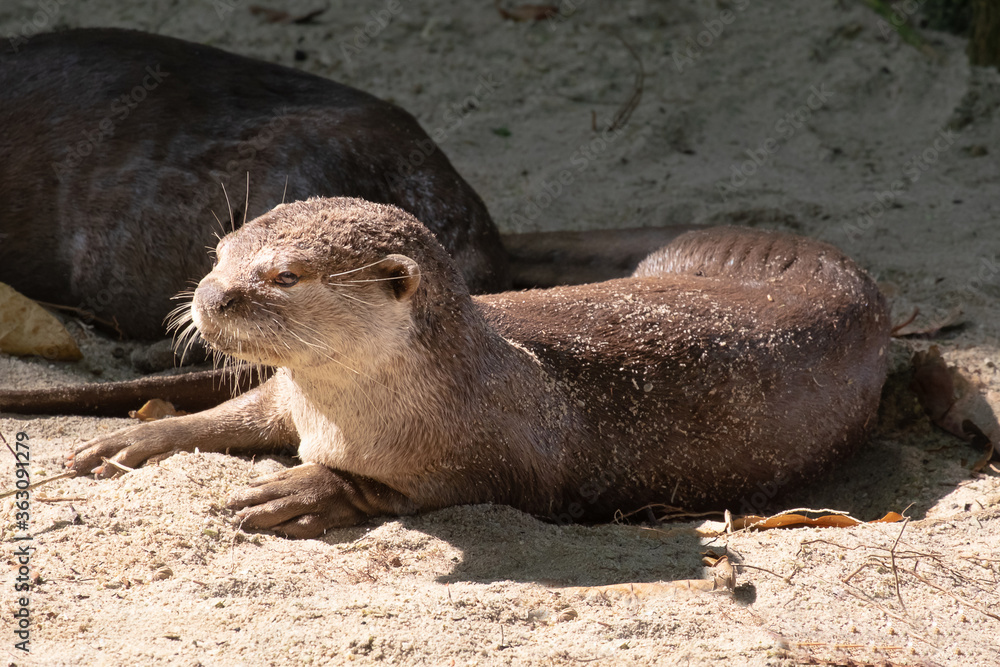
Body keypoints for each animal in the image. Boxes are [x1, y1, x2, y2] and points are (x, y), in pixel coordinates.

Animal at [68, 197, 890, 538]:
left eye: (286, 276)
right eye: (220, 254)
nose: (210, 296)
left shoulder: (510, 460)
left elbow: (423, 490)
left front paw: (304, 491)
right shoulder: (289, 402)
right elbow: (234, 413)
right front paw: (132, 440)